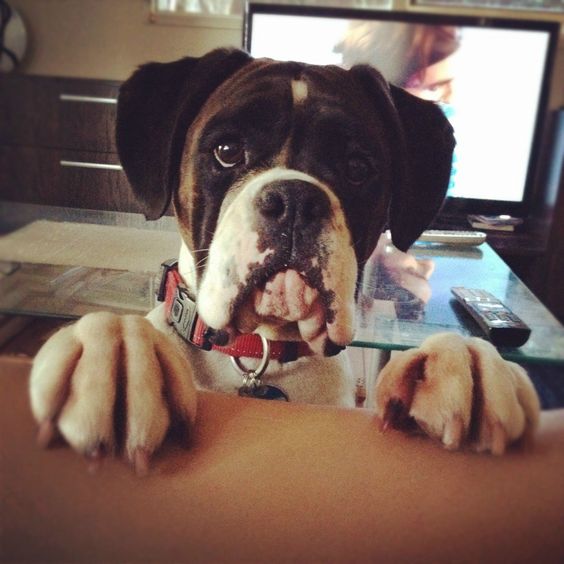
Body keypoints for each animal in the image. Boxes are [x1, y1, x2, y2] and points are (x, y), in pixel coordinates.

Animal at [28, 48, 540, 474]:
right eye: (227, 151)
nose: (295, 200)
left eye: (358, 167)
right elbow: (117, 330)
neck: (262, 354)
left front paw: (465, 366)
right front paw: (115, 358)